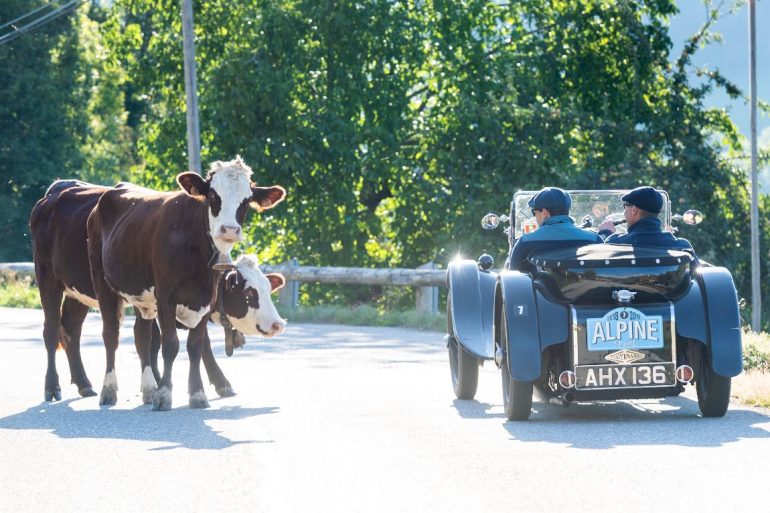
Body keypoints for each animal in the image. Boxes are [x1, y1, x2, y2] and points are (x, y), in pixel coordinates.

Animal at [88, 156, 284, 408]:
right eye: (213, 195)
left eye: (247, 200)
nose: (229, 230)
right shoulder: (165, 297)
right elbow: (170, 344)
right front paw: (165, 394)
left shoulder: (205, 299)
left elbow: (195, 346)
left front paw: (197, 393)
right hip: (103, 284)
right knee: (111, 334)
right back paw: (109, 389)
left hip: (143, 300)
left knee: (142, 336)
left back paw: (149, 388)